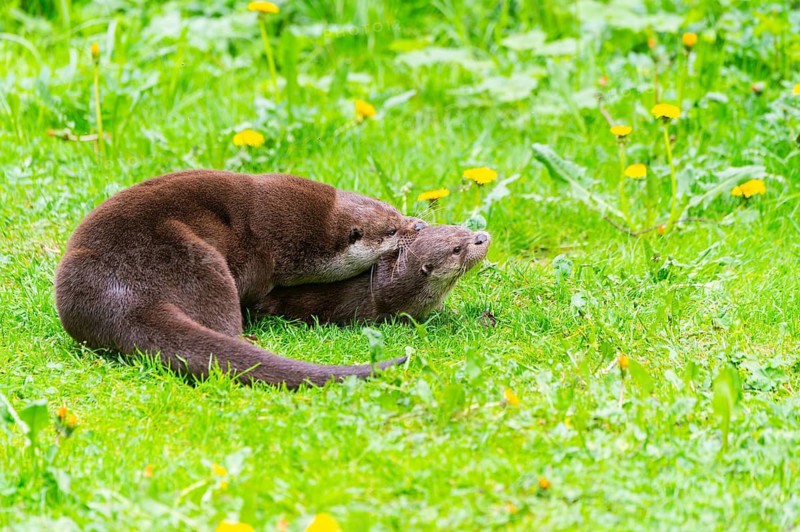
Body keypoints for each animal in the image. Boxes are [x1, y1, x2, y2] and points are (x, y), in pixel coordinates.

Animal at [54, 170, 424, 389]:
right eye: (392, 230)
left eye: (397, 211)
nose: (418, 225)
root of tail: (123, 298)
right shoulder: (262, 255)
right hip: (194, 257)